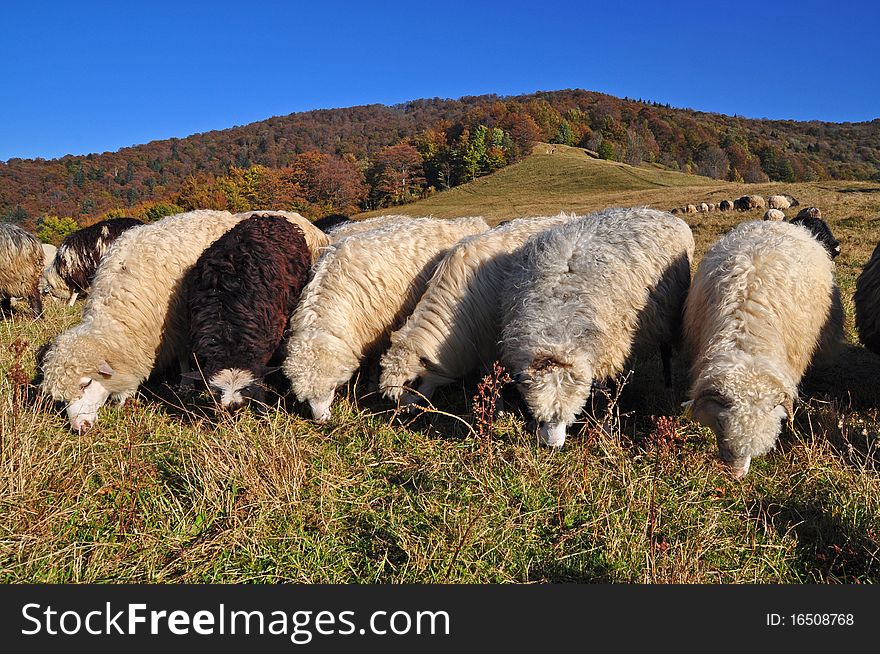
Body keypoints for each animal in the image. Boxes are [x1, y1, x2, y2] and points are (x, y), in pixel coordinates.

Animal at [40, 211, 248, 436]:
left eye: (86, 383)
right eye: (63, 399)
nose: (79, 427)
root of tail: (222, 213)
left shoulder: (179, 323)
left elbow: (182, 355)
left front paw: (185, 384)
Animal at [282, 214, 488, 420]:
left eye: (333, 386)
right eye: (304, 398)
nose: (320, 420)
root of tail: (468, 221)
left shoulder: (378, 331)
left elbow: (375, 362)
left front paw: (372, 386)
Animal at [498, 210, 692, 452]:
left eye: (567, 417)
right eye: (541, 416)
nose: (552, 447)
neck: (554, 330)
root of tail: (660, 212)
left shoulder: (610, 350)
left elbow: (604, 394)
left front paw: (606, 428)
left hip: (666, 316)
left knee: (665, 353)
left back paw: (668, 387)